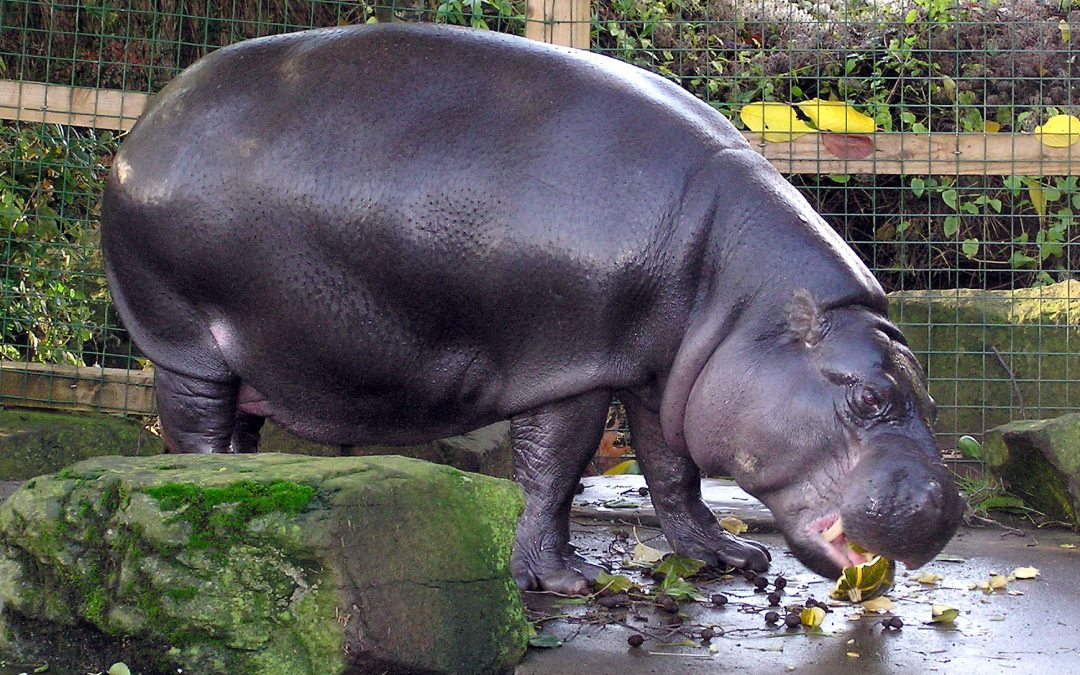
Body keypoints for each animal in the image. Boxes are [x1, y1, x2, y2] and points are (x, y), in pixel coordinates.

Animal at [101, 23, 962, 595]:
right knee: (195, 430)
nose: (946, 505)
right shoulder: (573, 360)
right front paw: (565, 578)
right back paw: (210, 491)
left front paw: (727, 556)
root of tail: (144, 126)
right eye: (868, 396)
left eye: (925, 392)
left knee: (238, 427)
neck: (744, 302)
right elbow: (554, 470)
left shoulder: (666, 373)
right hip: (183, 339)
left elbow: (672, 469)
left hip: (252, 351)